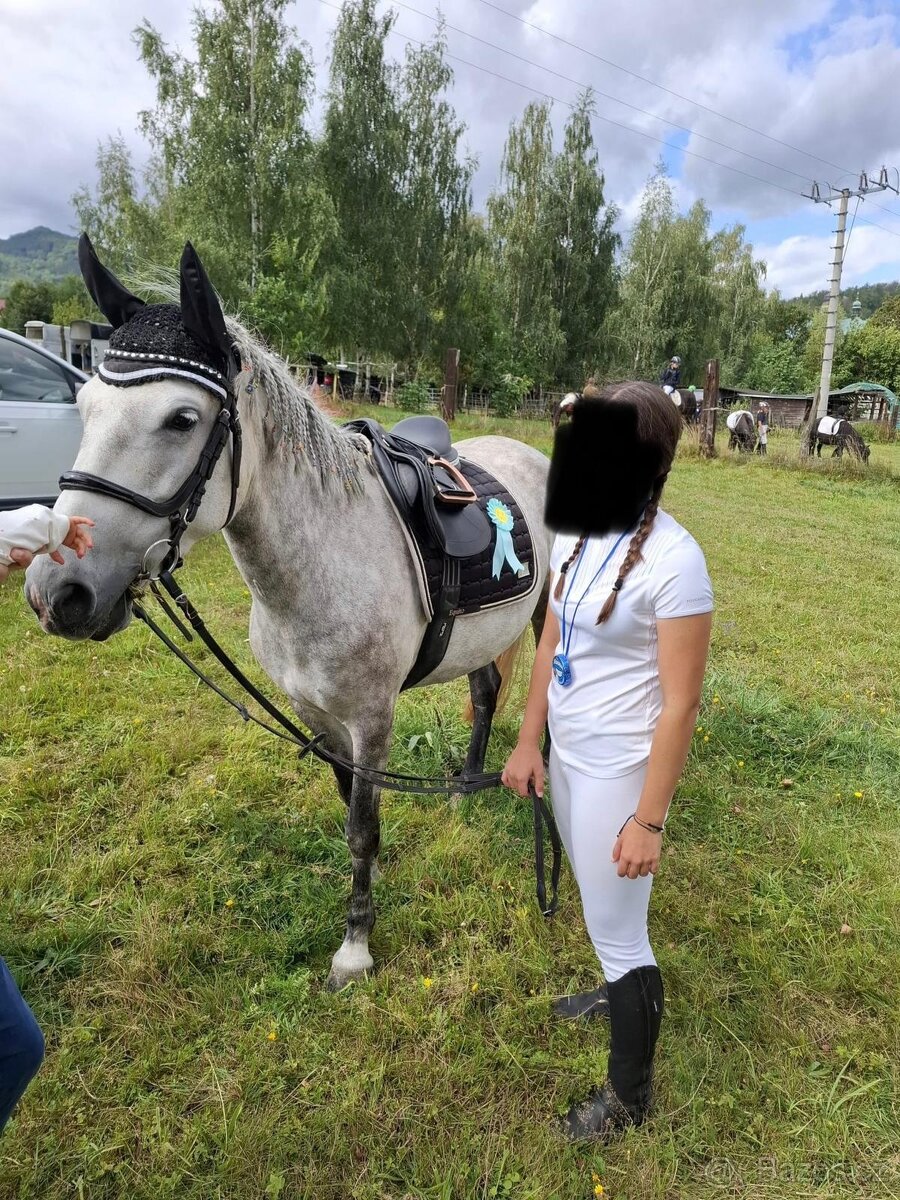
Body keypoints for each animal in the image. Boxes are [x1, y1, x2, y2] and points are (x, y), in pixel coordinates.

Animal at [26, 240, 553, 990]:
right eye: (85, 405)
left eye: (182, 419)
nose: (56, 591)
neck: (320, 563)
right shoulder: (316, 716)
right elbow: (348, 811)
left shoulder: (372, 721)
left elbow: (363, 825)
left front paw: (355, 948)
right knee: (484, 692)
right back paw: (464, 791)